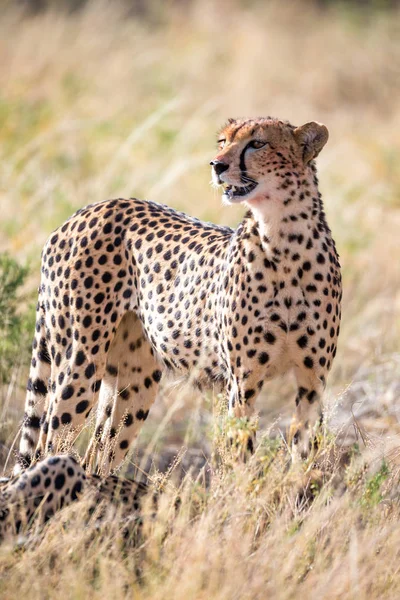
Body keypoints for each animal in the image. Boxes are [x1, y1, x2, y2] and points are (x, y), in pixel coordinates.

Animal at [14, 117, 340, 474]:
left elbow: (305, 451)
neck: (284, 237)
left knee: (98, 456)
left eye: (257, 144)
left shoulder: (313, 381)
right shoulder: (243, 382)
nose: (217, 165)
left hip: (135, 380)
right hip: (79, 362)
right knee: (48, 444)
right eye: (223, 142)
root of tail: (87, 210)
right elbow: (241, 452)